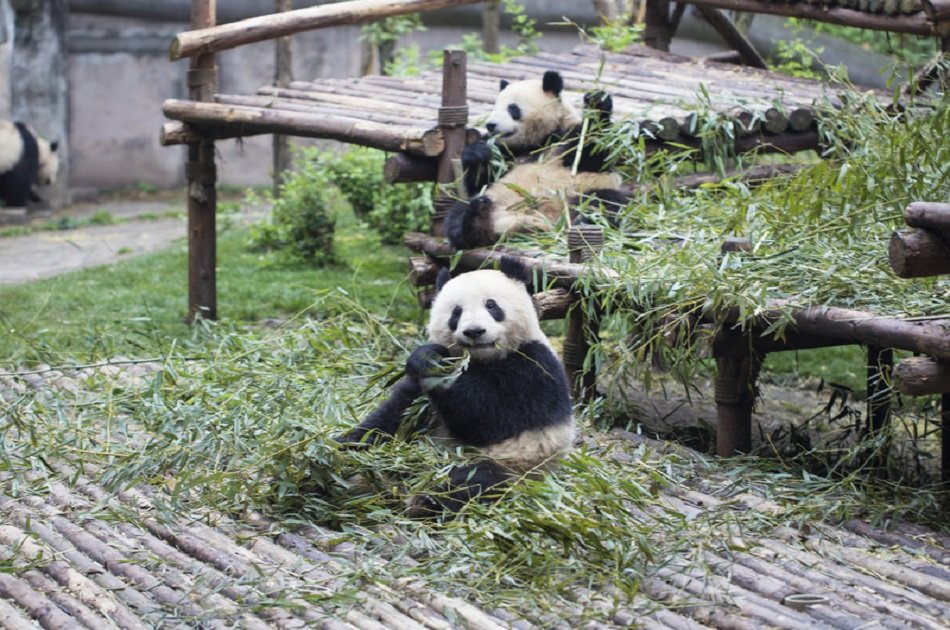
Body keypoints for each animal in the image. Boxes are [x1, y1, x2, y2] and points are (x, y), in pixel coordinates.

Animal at [336, 257, 574, 518]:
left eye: (491, 305)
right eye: (456, 312)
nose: (474, 332)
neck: (480, 359)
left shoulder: (534, 368)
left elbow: (491, 417)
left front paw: (434, 363)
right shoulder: (418, 394)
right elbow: (390, 418)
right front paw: (339, 446)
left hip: (513, 465)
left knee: (474, 480)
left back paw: (423, 502)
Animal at [446, 70, 626, 249]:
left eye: (512, 108)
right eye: (495, 106)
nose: (490, 125)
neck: (539, 141)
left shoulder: (565, 135)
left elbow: (592, 156)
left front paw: (597, 104)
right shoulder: (507, 152)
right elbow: (480, 179)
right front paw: (477, 153)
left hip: (580, 195)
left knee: (604, 202)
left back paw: (584, 221)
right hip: (494, 197)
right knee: (458, 212)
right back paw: (476, 219)